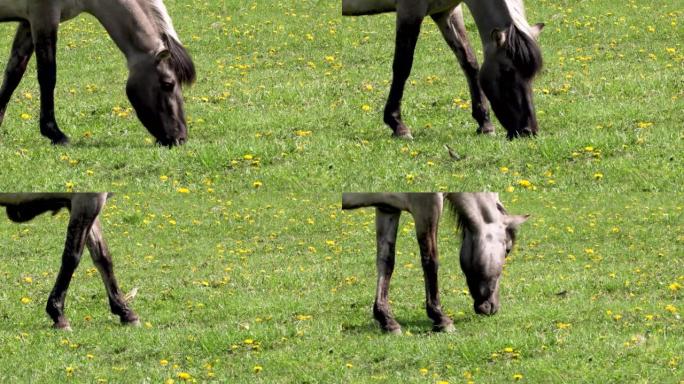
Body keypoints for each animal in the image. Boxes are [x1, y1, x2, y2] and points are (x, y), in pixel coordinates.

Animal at [0, 0, 198, 146]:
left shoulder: (28, 22)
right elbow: (48, 76)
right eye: (168, 84)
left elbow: (13, 75)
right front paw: (55, 133)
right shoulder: (43, 17)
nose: (180, 138)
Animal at [342, 0, 544, 140]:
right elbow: (402, 67)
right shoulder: (410, 11)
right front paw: (398, 125)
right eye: (508, 72)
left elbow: (469, 62)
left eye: (532, 75)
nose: (528, 130)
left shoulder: (446, 12)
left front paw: (484, 124)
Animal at [342, 192, 528, 332]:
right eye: (508, 249)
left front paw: (386, 319)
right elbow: (430, 261)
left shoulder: (388, 208)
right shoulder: (427, 206)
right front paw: (440, 318)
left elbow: (386, 261)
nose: (493, 307)